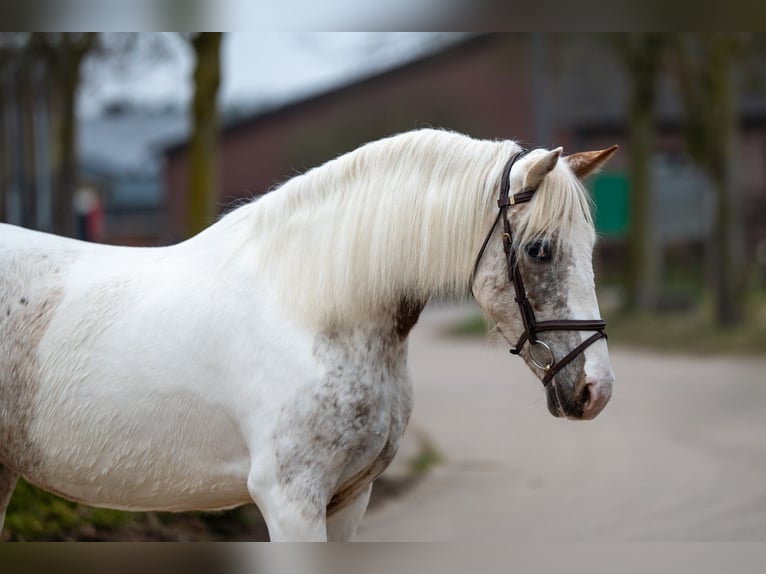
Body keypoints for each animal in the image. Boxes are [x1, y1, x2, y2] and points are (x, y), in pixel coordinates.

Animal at [0, 128, 616, 544]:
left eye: (589, 246)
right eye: (540, 249)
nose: (596, 390)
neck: (312, 311)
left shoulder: (349, 499)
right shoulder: (290, 502)